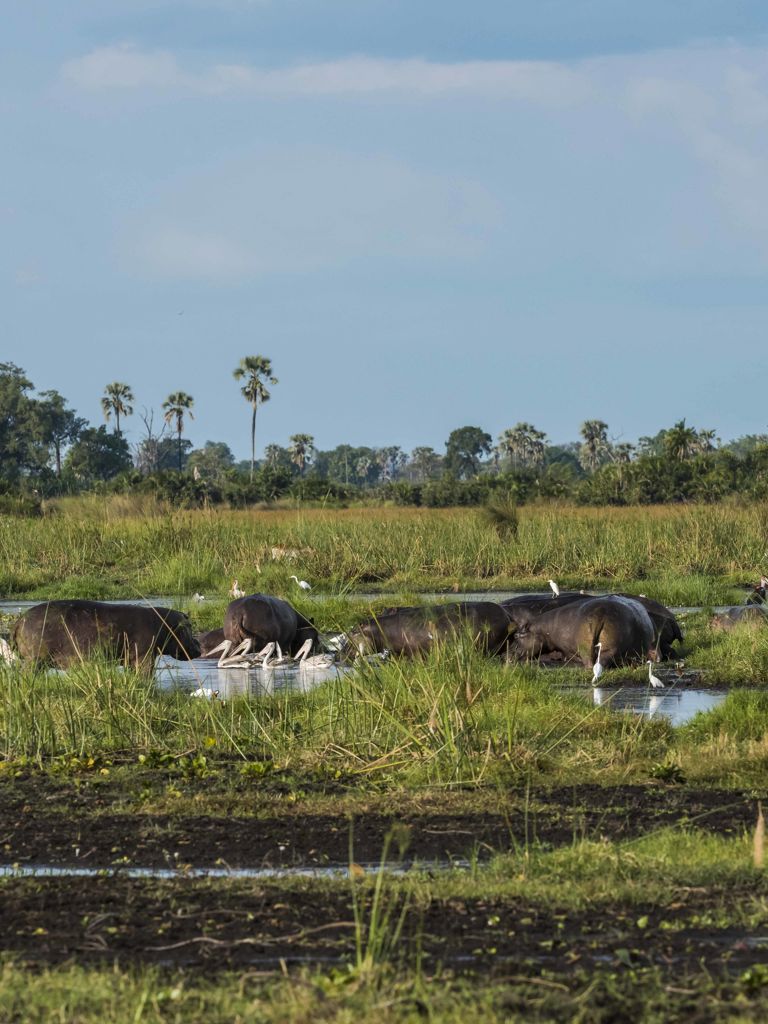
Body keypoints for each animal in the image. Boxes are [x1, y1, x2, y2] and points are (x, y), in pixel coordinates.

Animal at [12, 600, 200, 668]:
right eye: (189, 626)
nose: (199, 645)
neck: (163, 623)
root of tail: (20, 620)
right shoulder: (144, 655)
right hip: (35, 659)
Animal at [510, 596, 656, 669]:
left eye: (516, 636)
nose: (506, 655)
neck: (544, 629)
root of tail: (600, 614)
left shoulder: (568, 650)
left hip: (602, 648)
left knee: (595, 662)